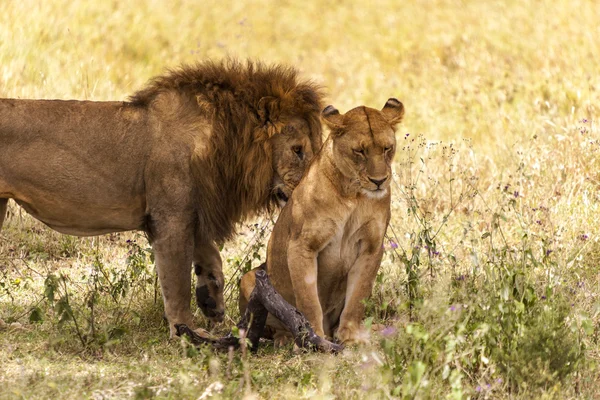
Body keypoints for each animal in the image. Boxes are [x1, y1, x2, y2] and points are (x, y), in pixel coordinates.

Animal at [0, 59, 324, 336]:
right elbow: (176, 281)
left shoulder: (195, 211)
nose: (310, 193)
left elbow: (212, 262)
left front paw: (213, 306)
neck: (225, 142)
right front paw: (186, 332)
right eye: (298, 150)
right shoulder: (170, 218)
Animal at [239, 97, 404, 344]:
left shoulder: (372, 247)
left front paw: (350, 336)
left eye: (387, 148)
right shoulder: (302, 245)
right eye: (359, 151)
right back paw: (285, 338)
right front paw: (313, 336)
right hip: (249, 278)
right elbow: (307, 298)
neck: (353, 194)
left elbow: (358, 295)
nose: (379, 181)